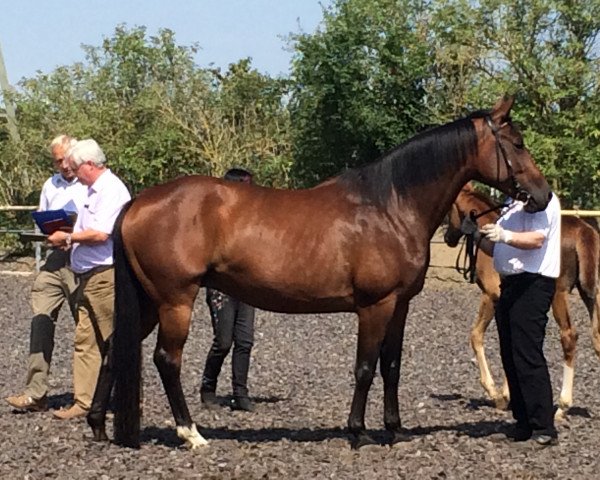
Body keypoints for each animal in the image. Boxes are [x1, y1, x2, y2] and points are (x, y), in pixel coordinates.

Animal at [86, 95, 552, 448]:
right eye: (517, 142)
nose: (544, 195)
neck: (389, 206)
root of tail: (138, 203)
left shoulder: (399, 305)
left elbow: (392, 366)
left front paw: (395, 430)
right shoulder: (375, 306)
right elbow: (365, 367)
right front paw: (358, 433)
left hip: (148, 302)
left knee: (113, 348)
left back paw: (98, 426)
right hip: (175, 301)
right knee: (167, 360)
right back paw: (191, 434)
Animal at [446, 182, 600, 418]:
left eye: (449, 209)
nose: (447, 237)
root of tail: (583, 229)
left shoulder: (492, 295)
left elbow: (477, 335)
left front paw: (497, 394)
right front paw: (508, 393)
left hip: (559, 294)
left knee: (569, 337)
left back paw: (562, 406)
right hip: (590, 291)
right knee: (597, 338)